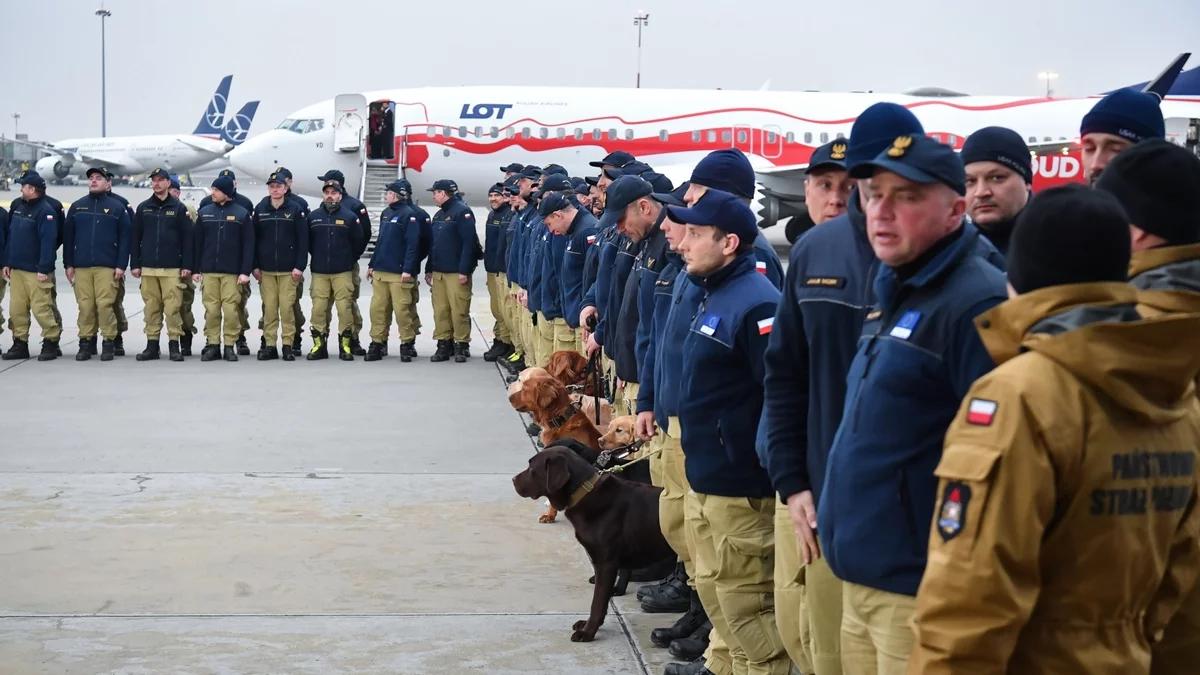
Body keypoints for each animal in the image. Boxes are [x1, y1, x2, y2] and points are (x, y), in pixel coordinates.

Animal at [508, 446, 676, 638]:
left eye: (532, 468)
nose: (513, 480)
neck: (584, 492)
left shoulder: (606, 563)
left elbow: (597, 602)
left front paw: (588, 632)